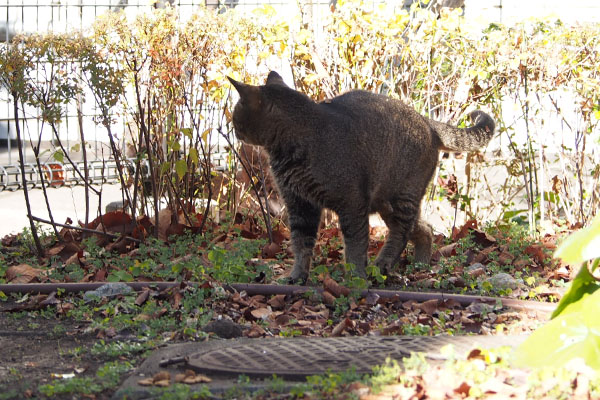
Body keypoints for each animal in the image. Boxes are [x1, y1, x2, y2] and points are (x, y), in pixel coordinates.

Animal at [227, 72, 494, 284]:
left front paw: (355, 278)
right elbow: (301, 244)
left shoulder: (351, 204)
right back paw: (420, 264)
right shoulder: (300, 205)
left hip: (401, 198)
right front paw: (297, 276)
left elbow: (355, 245)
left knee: (401, 233)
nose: (232, 128)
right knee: (424, 228)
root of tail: (425, 120)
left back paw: (382, 265)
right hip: (389, 204)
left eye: (236, 112)